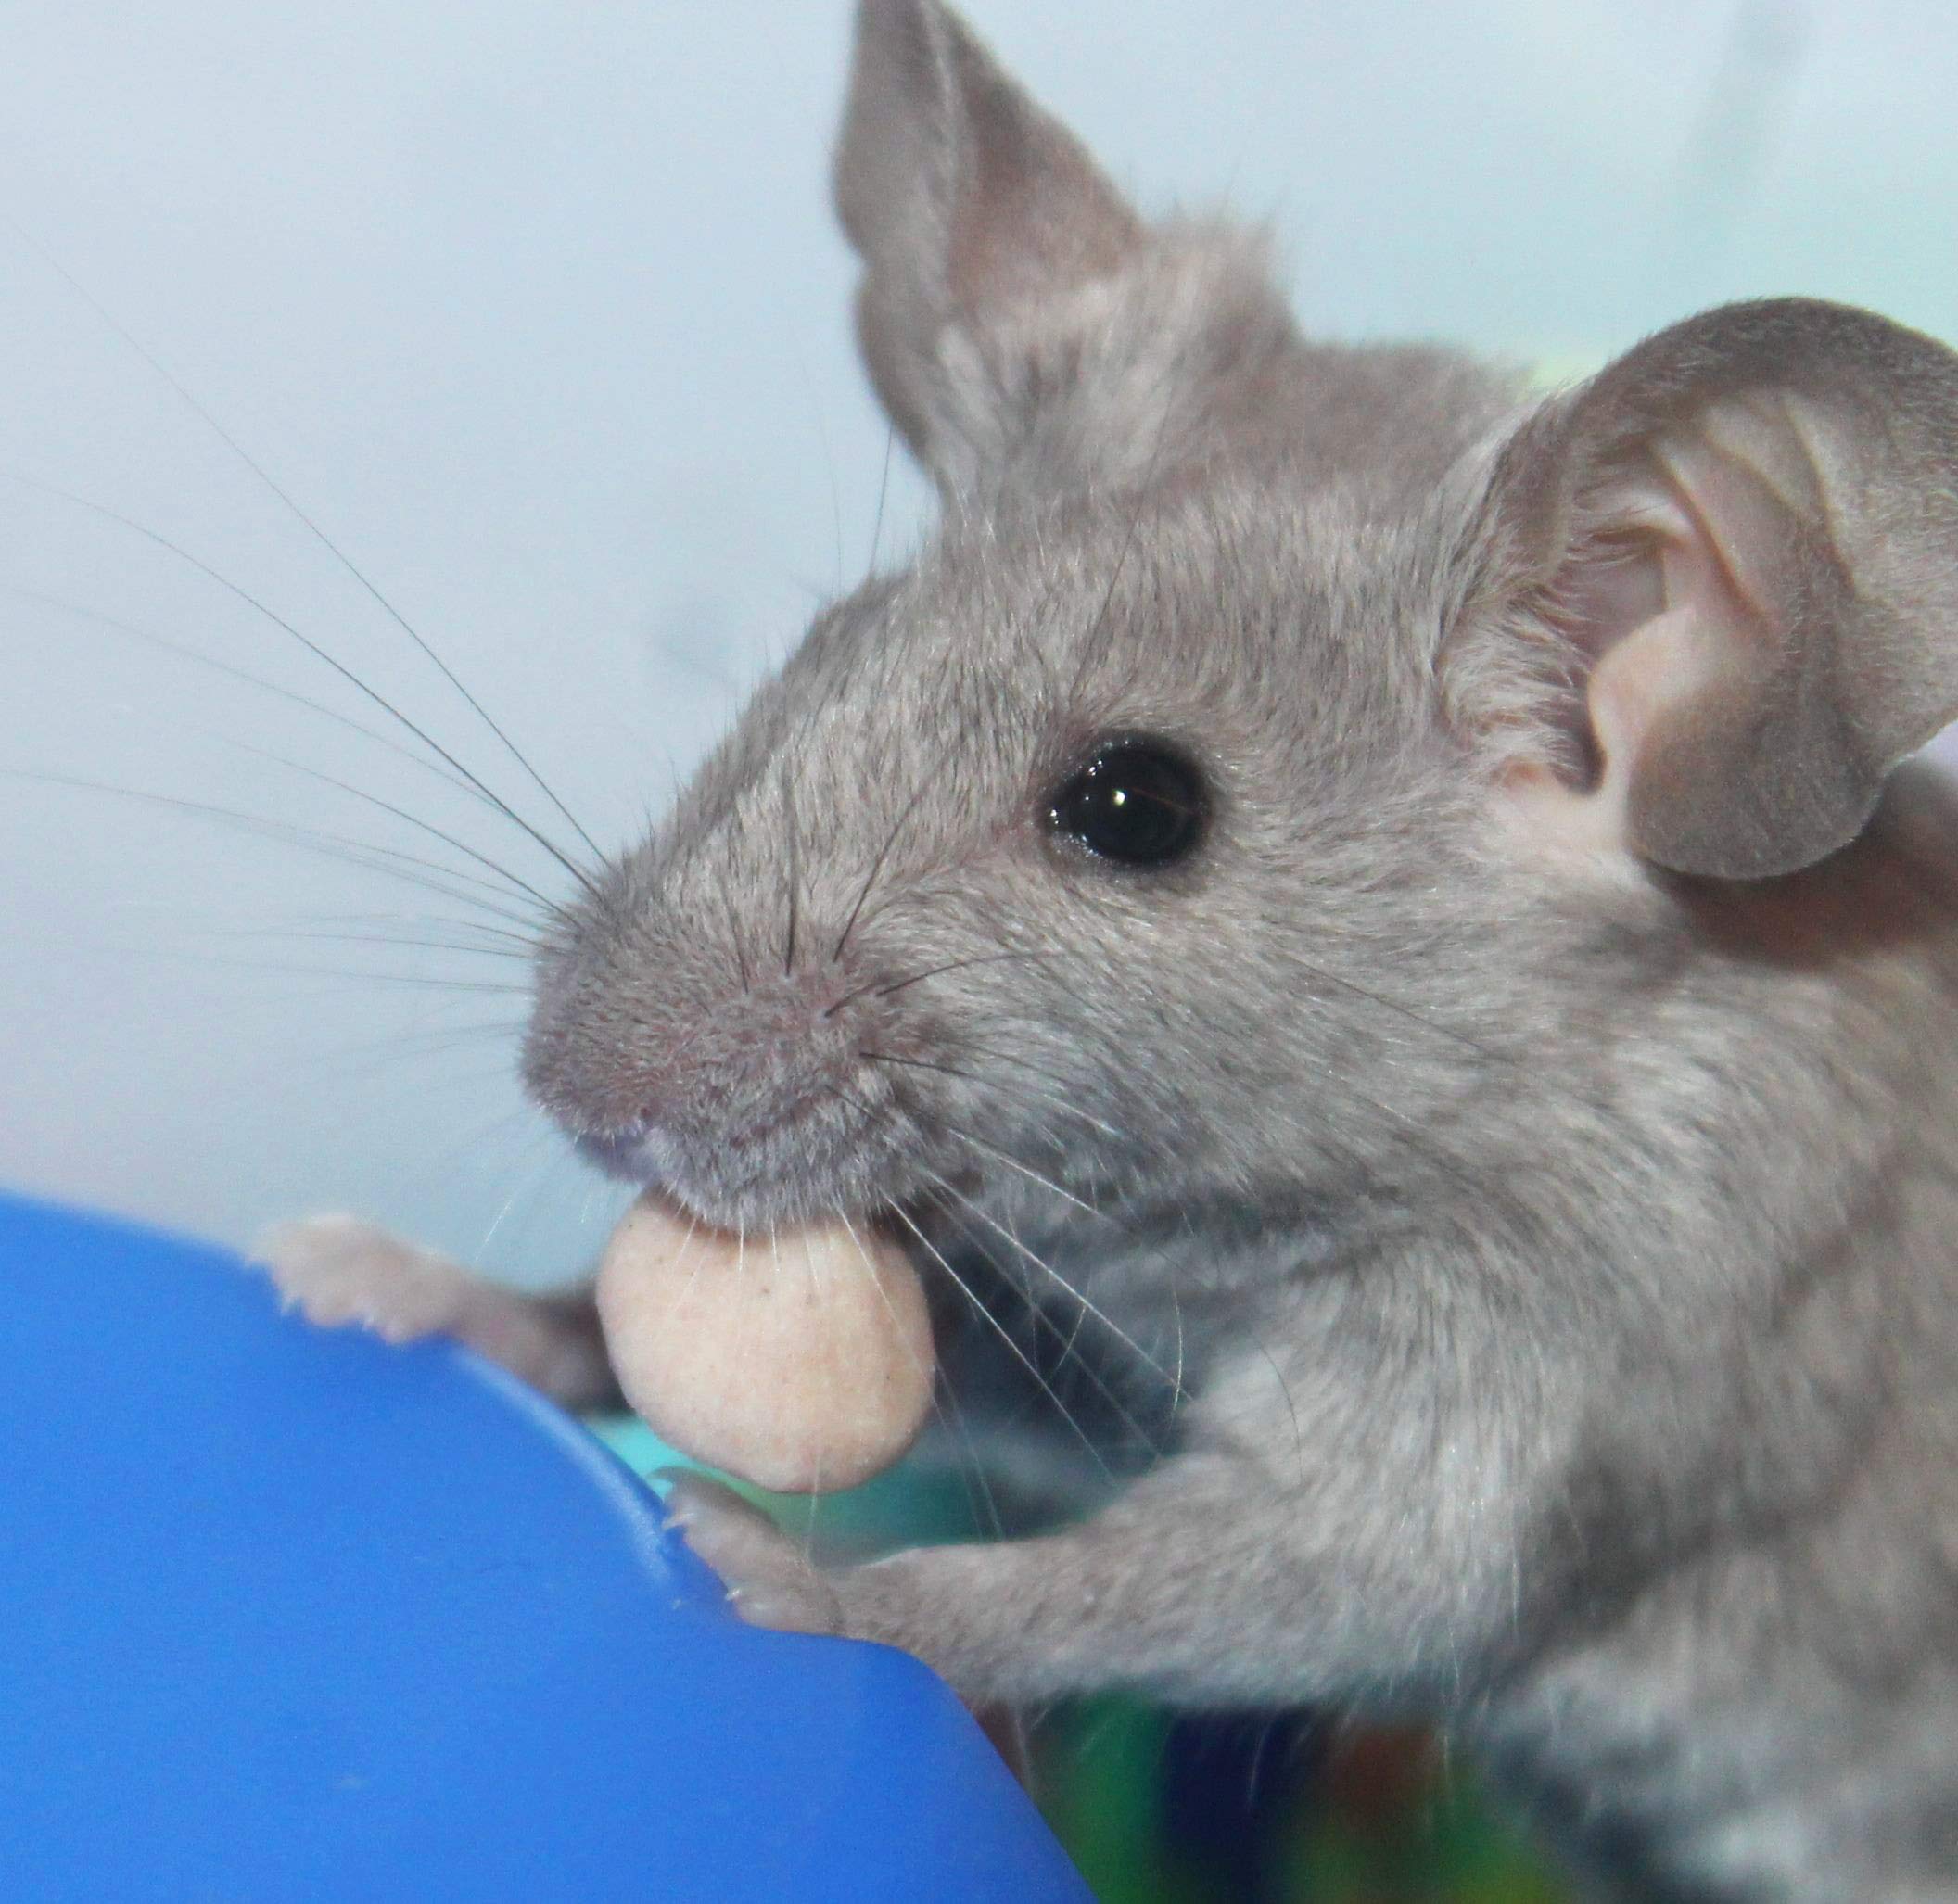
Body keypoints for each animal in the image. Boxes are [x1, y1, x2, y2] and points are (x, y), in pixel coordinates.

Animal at [263, 1, 1958, 1895]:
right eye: (832, 641)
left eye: (1139, 805)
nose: (574, 1084)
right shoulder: (1094, 1335)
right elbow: (983, 1383)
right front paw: (422, 1288)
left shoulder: (1591, 1329)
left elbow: (1296, 1569)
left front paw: (797, 1582)